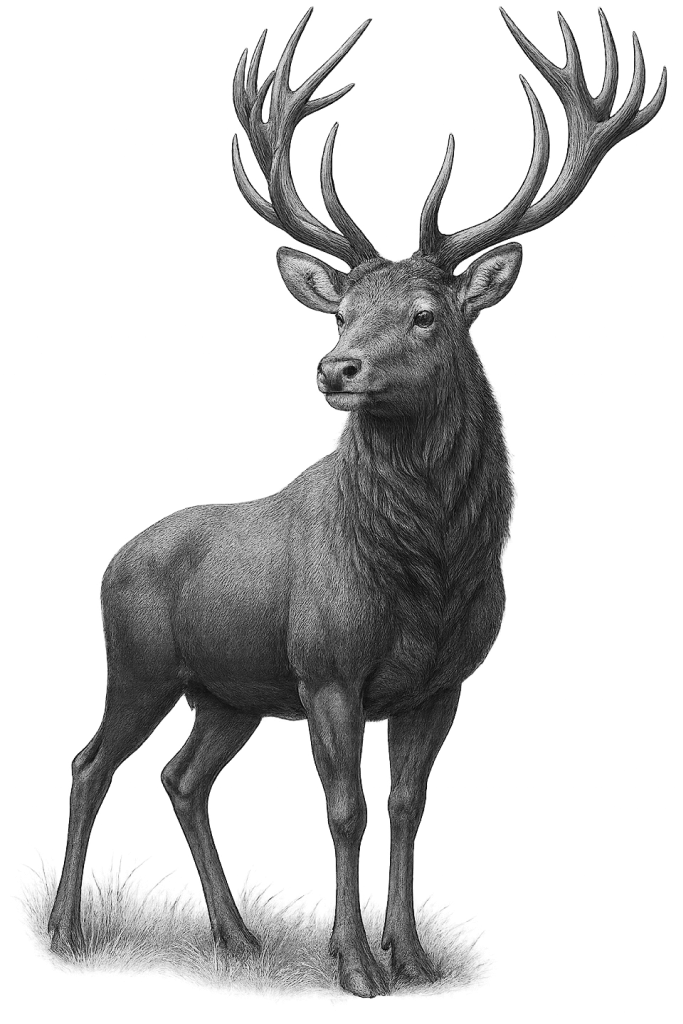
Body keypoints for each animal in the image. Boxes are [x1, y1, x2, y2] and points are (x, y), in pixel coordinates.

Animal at [48, 6, 665, 999]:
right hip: (139, 663)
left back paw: (239, 939)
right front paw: (354, 966)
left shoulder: (444, 682)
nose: (335, 368)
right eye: (340, 315)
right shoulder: (327, 669)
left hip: (229, 695)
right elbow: (345, 809)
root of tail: (117, 557)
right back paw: (69, 931)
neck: (429, 576)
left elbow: (408, 805)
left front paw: (411, 957)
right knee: (90, 764)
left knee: (182, 778)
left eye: (426, 314)